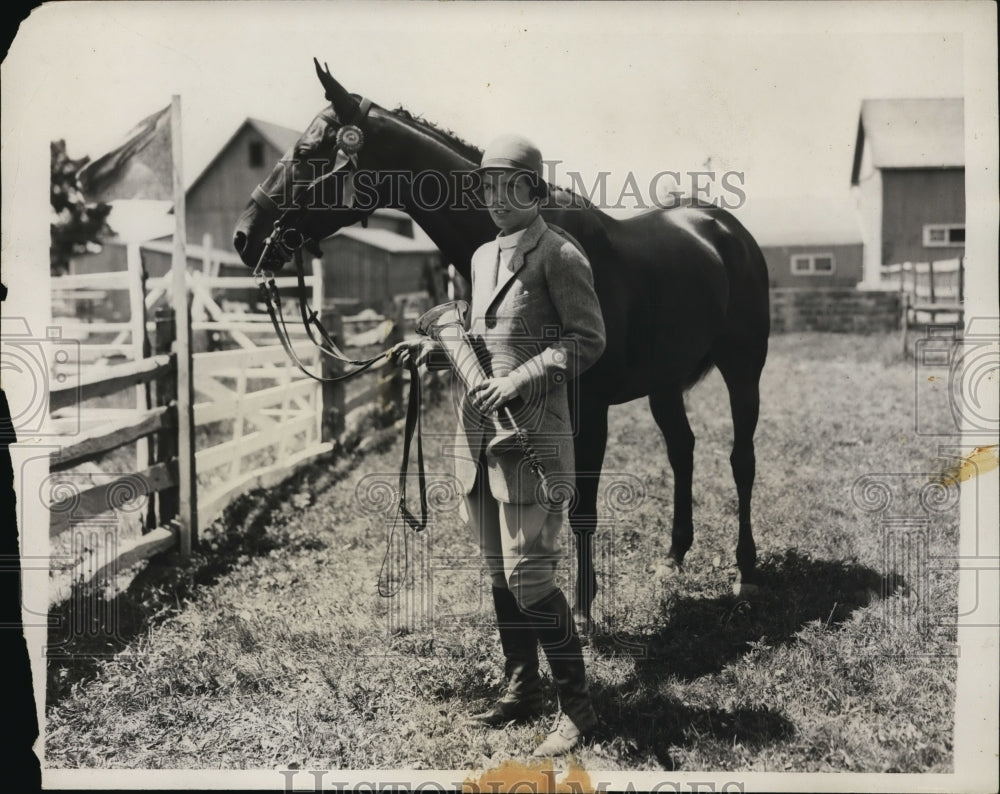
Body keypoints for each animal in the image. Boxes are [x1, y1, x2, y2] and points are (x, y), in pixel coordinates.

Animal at [234, 62, 772, 620]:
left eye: (305, 152)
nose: (245, 236)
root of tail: (723, 227)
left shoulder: (589, 406)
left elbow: (580, 506)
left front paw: (583, 610)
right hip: (664, 383)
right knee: (682, 451)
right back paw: (674, 556)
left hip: (743, 369)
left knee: (742, 460)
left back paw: (746, 572)